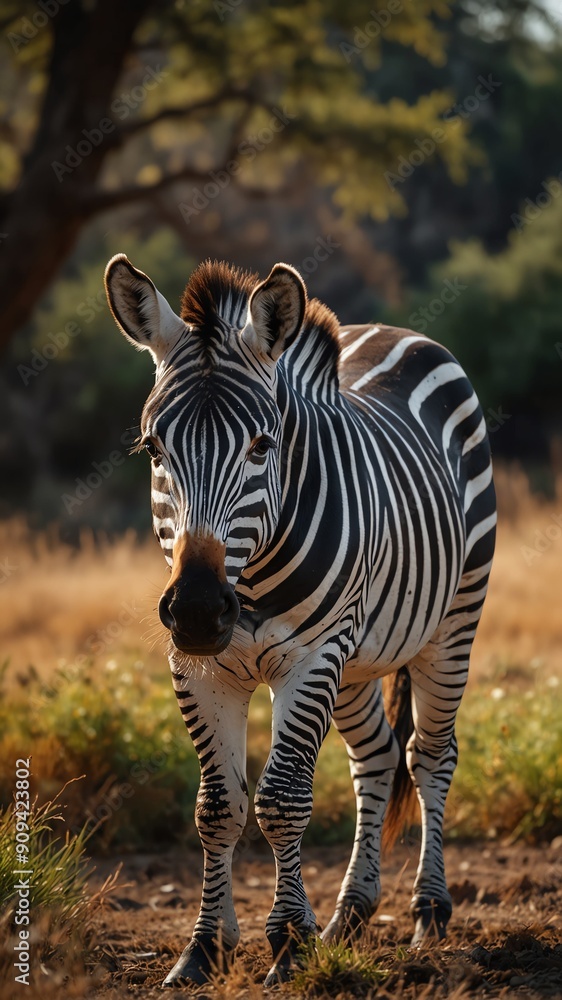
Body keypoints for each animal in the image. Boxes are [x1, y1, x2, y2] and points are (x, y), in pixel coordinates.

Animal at [104, 254, 496, 987]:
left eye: (262, 445)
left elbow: (281, 800)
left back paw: (429, 913)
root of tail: (392, 330)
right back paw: (350, 915)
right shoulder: (199, 669)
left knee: (430, 756)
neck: (248, 579)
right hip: (358, 660)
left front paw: (288, 943)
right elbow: (217, 807)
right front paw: (206, 948)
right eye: (153, 448)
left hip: (451, 623)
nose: (197, 610)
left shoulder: (311, 659)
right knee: (376, 757)